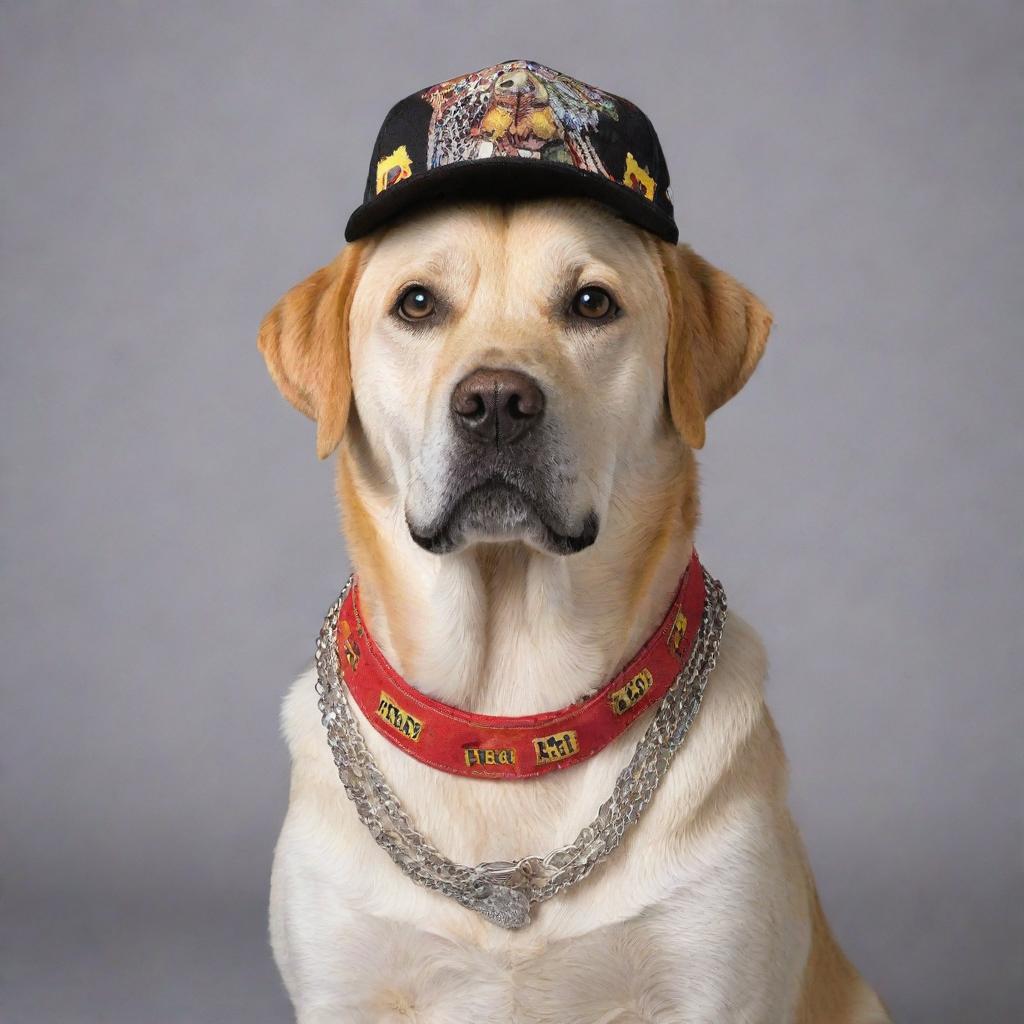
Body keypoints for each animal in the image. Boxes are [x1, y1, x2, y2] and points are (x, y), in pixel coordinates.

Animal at [256, 190, 888, 1015]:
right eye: (417, 303)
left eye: (592, 303)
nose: (495, 401)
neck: (505, 718)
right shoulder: (343, 987)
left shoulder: (713, 981)